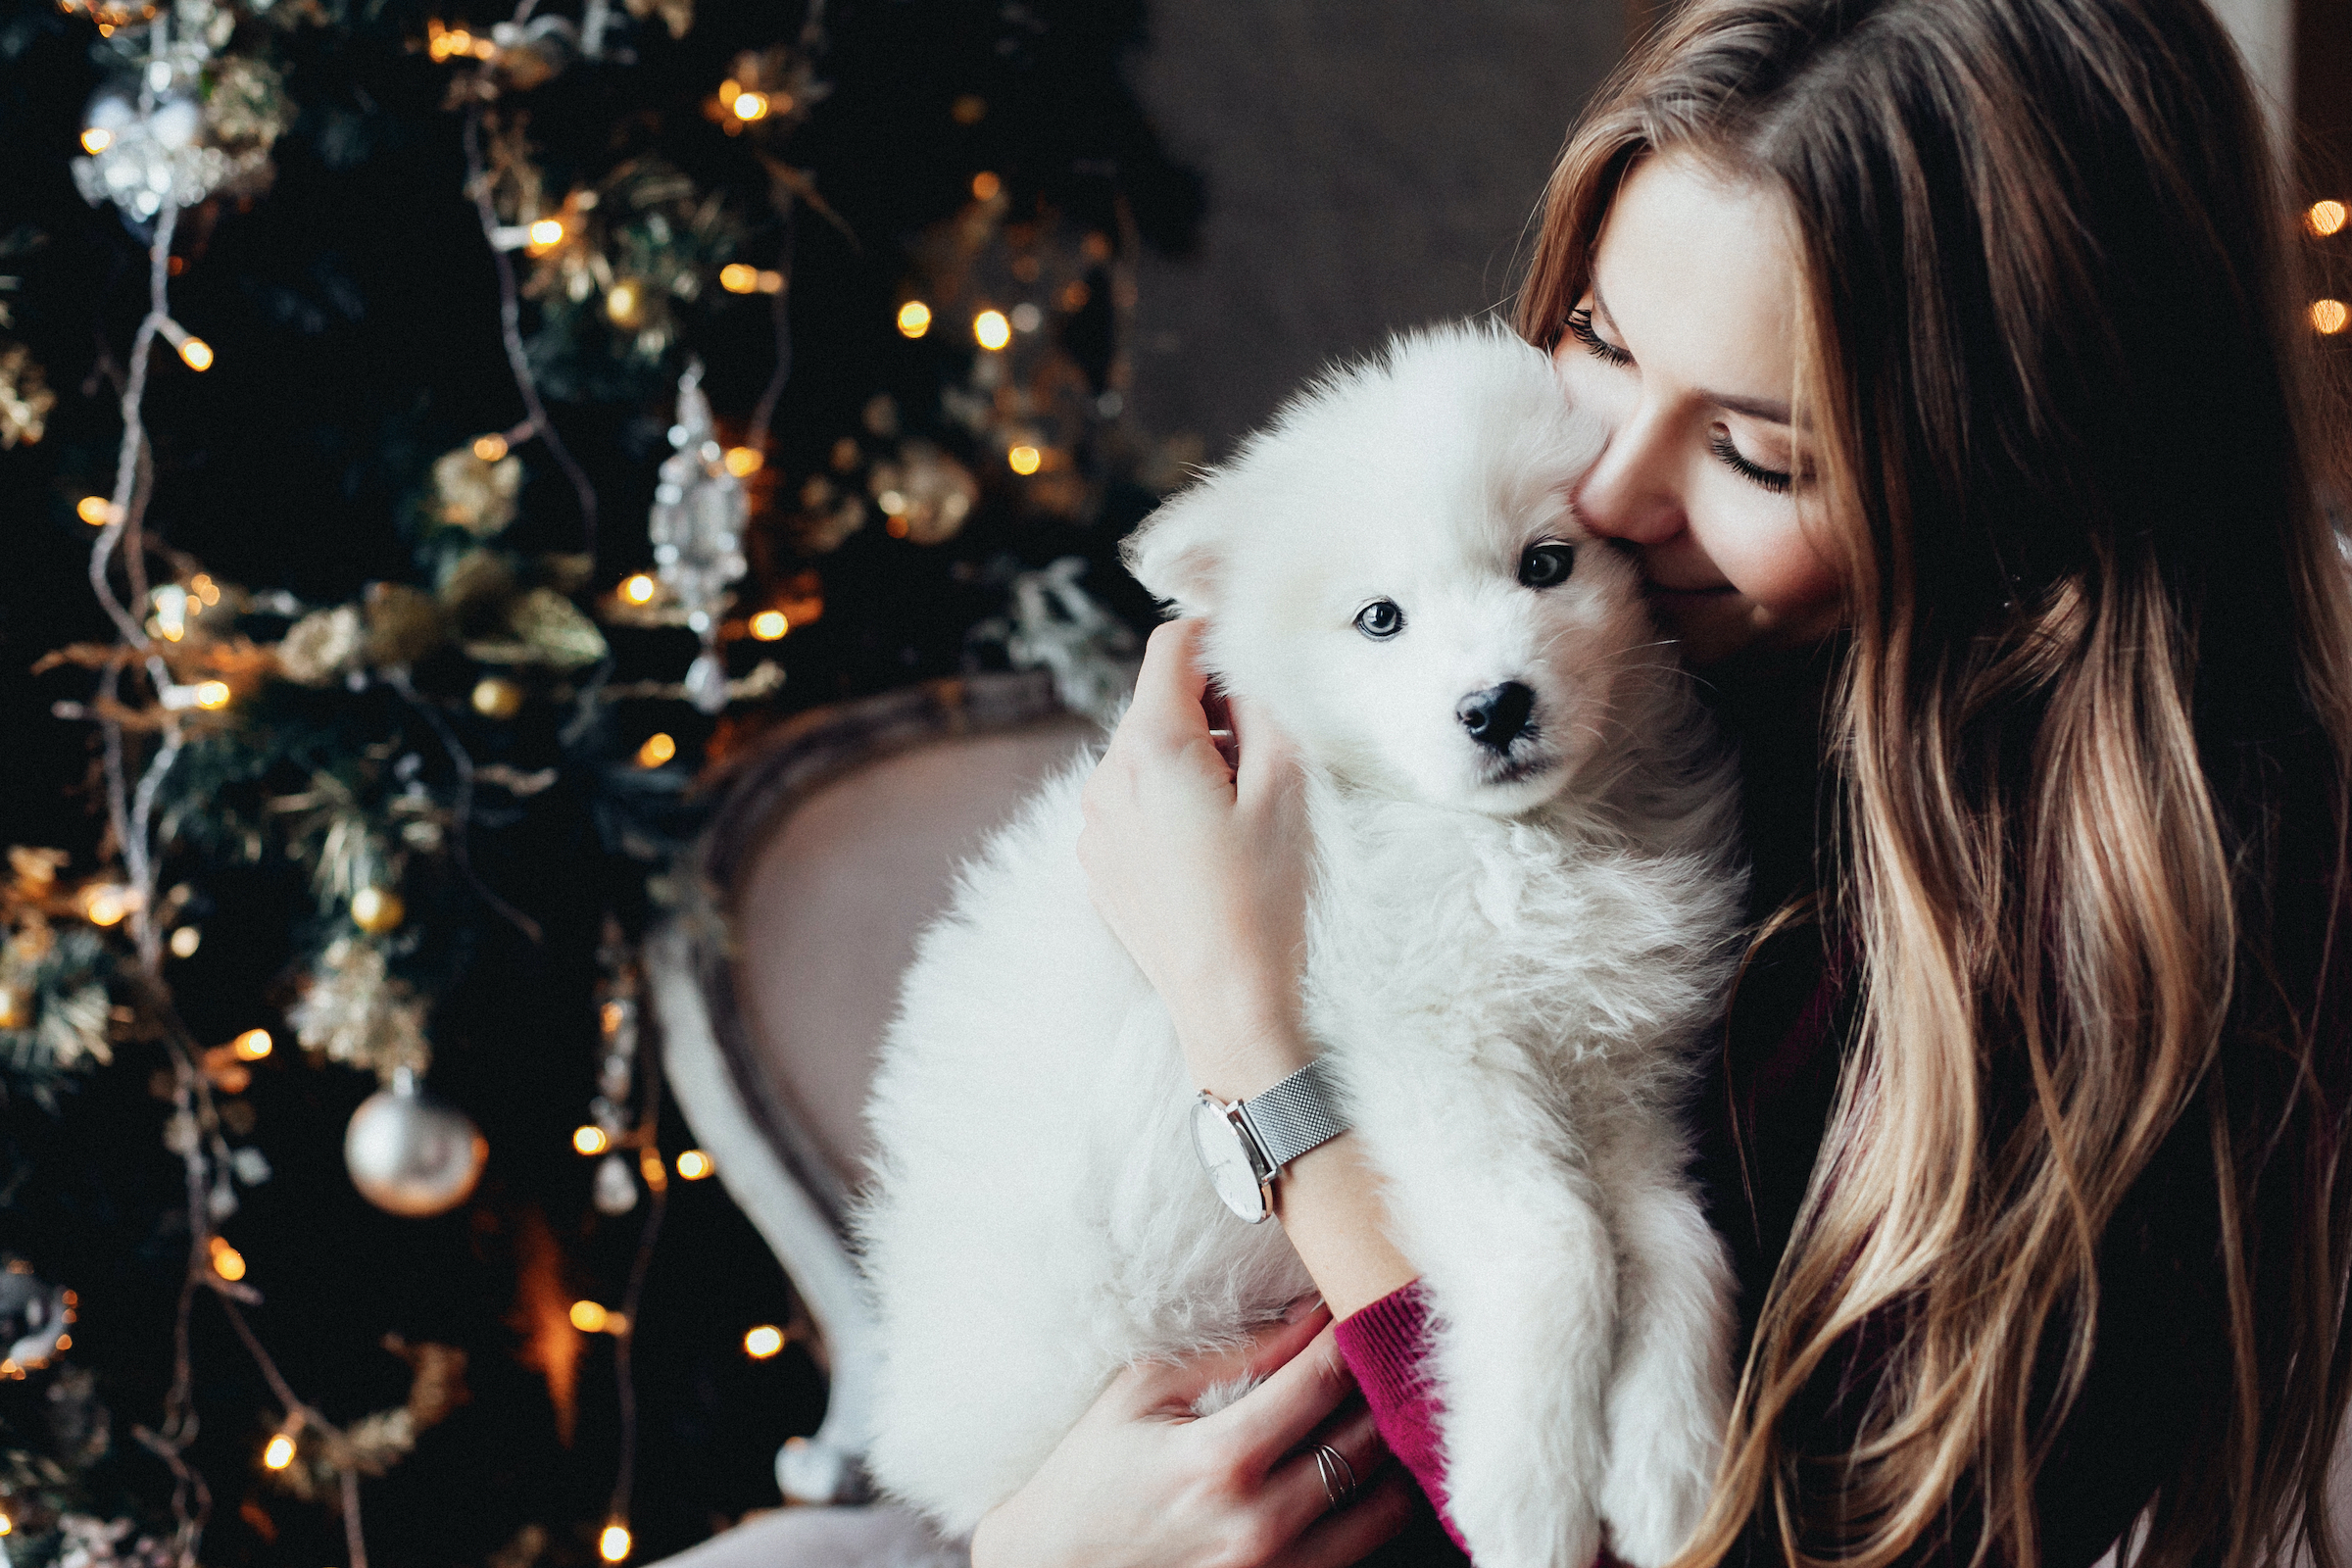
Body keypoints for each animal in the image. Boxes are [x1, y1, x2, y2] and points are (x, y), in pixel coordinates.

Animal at [860, 319, 1749, 1568]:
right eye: (1380, 618)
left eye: (1546, 565)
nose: (1496, 708)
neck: (1515, 844)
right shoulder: (1428, 1056)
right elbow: (1560, 1244)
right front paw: (1528, 1492)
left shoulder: (1612, 1078)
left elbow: (1676, 1240)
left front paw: (1670, 1468)